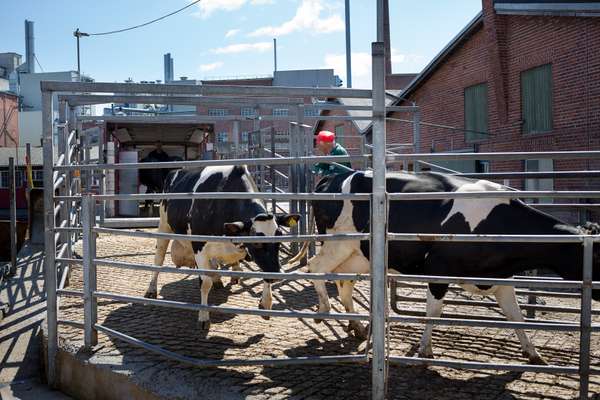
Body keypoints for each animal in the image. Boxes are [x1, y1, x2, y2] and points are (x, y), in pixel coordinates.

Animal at [147, 165, 300, 328]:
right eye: (256, 242)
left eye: (280, 237)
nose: (278, 274)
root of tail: (175, 171)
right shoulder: (199, 246)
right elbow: (205, 283)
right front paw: (203, 316)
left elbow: (264, 271)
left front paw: (266, 303)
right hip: (164, 225)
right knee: (159, 258)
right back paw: (151, 289)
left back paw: (218, 278)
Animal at [304, 170, 600, 364]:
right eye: (598, 257)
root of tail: (335, 176)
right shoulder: (439, 270)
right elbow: (434, 313)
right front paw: (425, 350)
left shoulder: (501, 278)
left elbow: (516, 316)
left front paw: (533, 353)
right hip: (339, 243)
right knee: (314, 267)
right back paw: (323, 309)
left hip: (358, 255)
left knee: (343, 282)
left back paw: (357, 326)